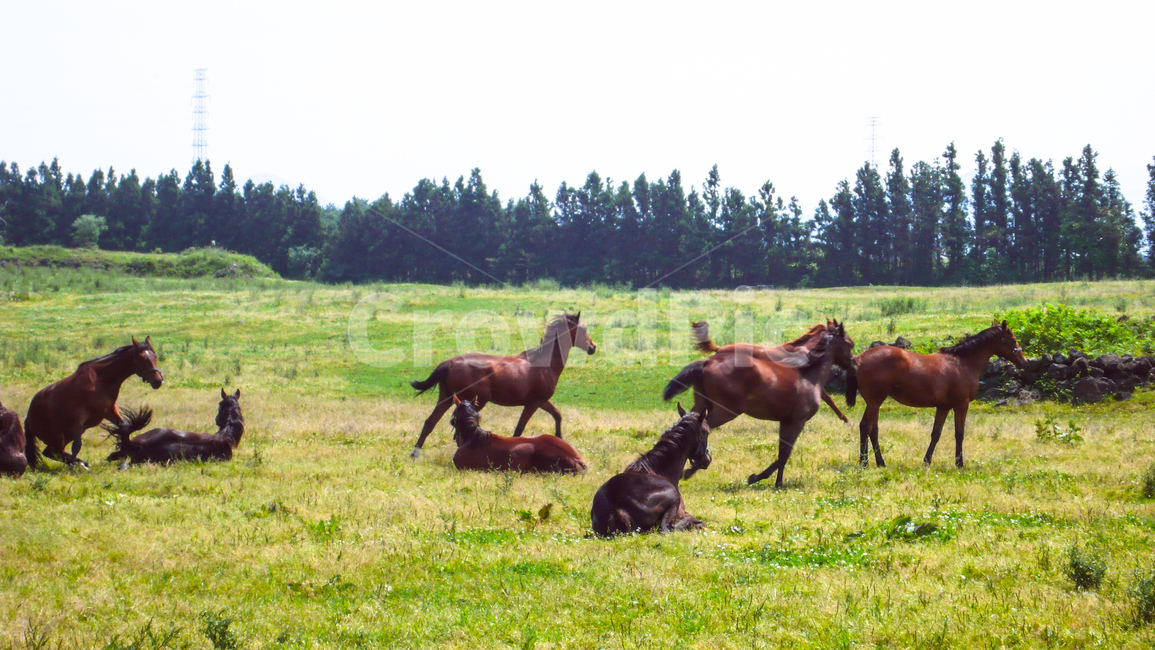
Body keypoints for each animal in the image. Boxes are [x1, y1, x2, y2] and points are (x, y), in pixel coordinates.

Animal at [24, 336, 163, 469]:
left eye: (155, 356)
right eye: (141, 358)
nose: (157, 381)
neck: (100, 380)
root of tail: (28, 418)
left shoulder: (108, 411)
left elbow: (124, 428)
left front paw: (122, 462)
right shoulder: (79, 419)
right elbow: (77, 446)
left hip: (64, 435)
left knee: (52, 452)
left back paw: (82, 463)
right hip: (57, 437)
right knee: (53, 452)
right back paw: (79, 464)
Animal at [409, 312, 596, 457]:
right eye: (584, 329)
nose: (593, 347)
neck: (545, 364)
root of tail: (449, 363)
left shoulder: (542, 401)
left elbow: (557, 415)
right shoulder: (533, 403)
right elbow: (519, 429)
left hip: (447, 397)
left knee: (430, 422)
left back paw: (415, 453)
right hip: (473, 401)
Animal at [590, 404, 712, 537]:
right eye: (707, 432)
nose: (708, 459)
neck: (658, 469)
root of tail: (615, 507)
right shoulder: (681, 511)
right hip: (672, 498)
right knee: (667, 529)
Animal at [689, 319, 851, 423]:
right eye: (848, 342)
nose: (851, 362)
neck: (806, 351)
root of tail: (719, 349)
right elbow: (829, 399)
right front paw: (845, 419)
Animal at [847, 320, 1026, 468]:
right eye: (1013, 339)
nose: (1024, 361)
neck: (962, 363)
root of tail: (859, 359)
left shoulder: (943, 407)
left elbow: (936, 434)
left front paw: (927, 461)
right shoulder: (961, 405)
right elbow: (959, 434)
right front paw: (959, 463)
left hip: (874, 403)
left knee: (873, 430)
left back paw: (880, 463)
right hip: (874, 402)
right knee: (865, 427)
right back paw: (864, 463)